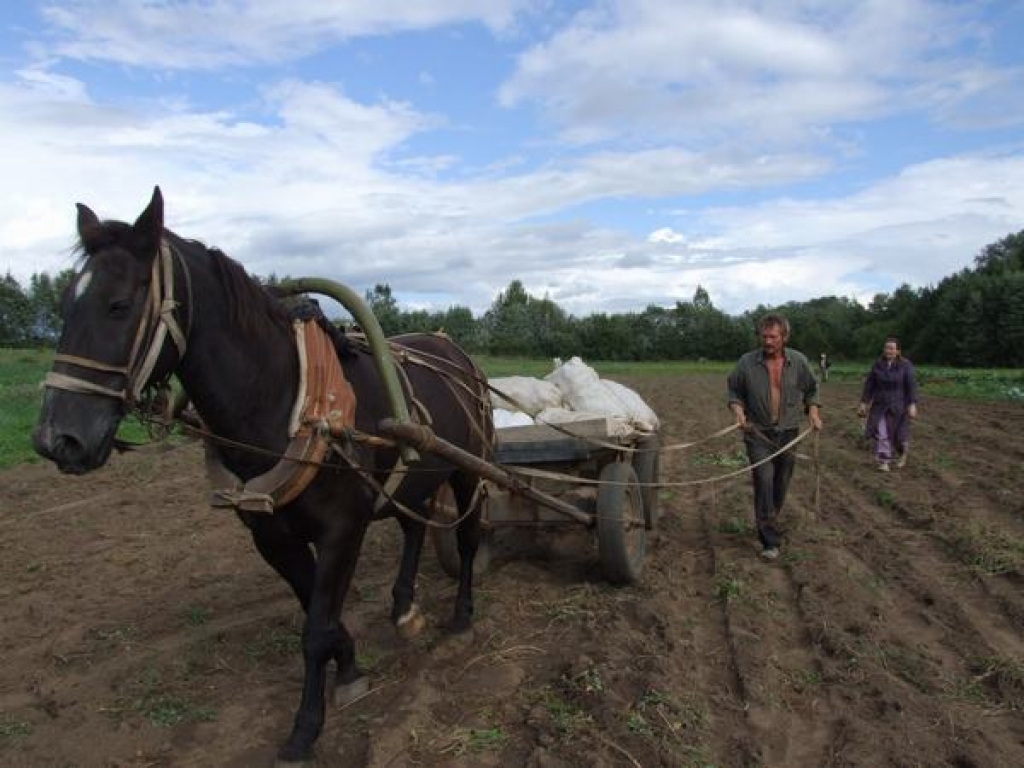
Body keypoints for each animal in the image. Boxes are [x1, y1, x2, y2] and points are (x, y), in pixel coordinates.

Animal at [33, 186, 495, 765]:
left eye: (119, 305)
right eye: (64, 306)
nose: (57, 440)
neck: (286, 401)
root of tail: (454, 351)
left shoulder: (342, 529)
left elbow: (315, 628)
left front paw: (305, 729)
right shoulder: (271, 535)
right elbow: (316, 610)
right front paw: (348, 663)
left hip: (466, 467)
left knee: (469, 534)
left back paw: (462, 616)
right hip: (415, 474)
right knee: (414, 525)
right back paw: (405, 608)